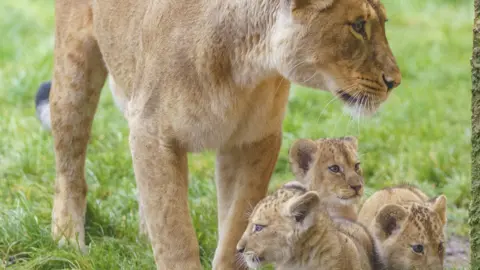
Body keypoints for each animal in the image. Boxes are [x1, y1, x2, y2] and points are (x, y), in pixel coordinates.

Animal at [34, 0, 402, 268]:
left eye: (383, 23)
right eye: (358, 26)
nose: (395, 81)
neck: (244, 65)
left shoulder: (254, 141)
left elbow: (236, 224)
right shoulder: (151, 131)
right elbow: (174, 230)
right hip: (74, 69)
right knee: (69, 167)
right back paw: (67, 238)